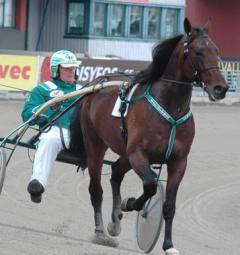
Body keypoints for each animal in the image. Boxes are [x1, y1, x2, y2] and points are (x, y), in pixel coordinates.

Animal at [70, 18, 229, 254]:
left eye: (216, 50)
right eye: (198, 51)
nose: (221, 88)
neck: (171, 108)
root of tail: (95, 87)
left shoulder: (178, 162)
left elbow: (169, 205)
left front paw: (169, 245)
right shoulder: (138, 154)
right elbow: (151, 186)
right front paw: (131, 204)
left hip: (124, 153)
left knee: (116, 172)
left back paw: (114, 222)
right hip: (95, 146)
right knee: (96, 190)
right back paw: (101, 232)